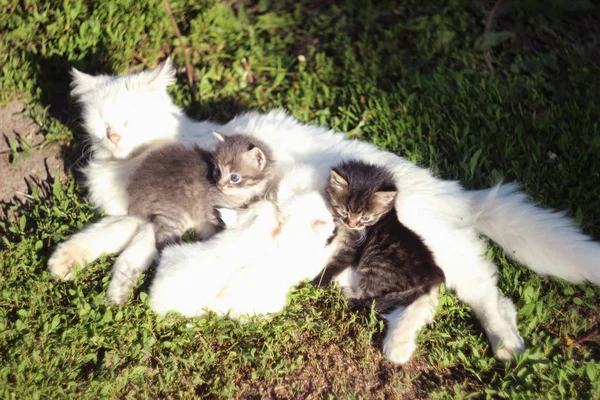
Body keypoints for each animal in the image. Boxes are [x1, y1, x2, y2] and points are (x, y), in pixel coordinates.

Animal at [127, 133, 278, 248]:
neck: (245, 192)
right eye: (218, 172)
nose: (219, 185)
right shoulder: (211, 207)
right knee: (163, 237)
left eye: (234, 177)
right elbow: (219, 220)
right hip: (174, 214)